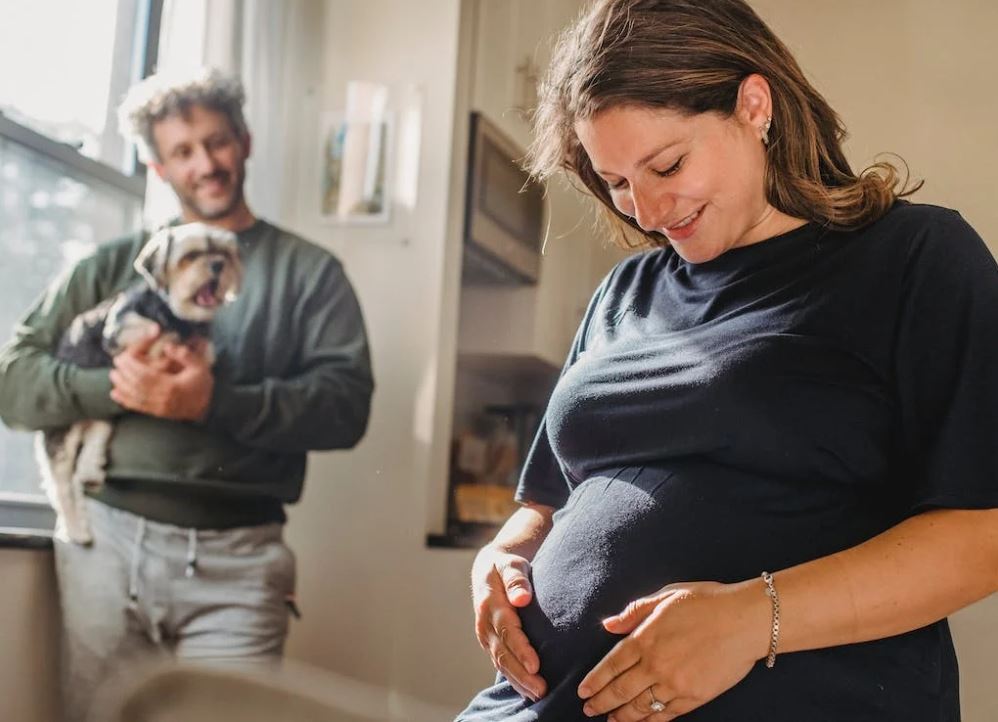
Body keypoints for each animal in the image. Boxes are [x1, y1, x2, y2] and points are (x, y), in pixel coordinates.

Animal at [38, 222, 244, 544]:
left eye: (225, 252)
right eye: (192, 255)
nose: (218, 265)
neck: (175, 314)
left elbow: (204, 353)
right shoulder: (119, 331)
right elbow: (151, 333)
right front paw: (165, 343)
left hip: (98, 414)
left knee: (95, 437)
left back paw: (91, 472)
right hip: (63, 428)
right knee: (61, 483)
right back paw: (76, 530)